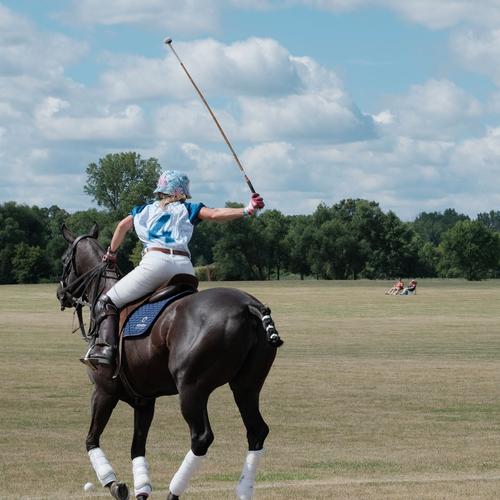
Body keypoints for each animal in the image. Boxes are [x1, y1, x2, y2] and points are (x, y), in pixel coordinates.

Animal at [57, 225, 284, 498]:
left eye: (63, 260)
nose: (60, 293)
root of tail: (249, 305)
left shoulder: (103, 391)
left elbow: (91, 439)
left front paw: (114, 484)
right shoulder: (144, 401)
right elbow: (137, 448)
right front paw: (141, 490)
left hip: (192, 387)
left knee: (201, 437)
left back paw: (174, 491)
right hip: (246, 385)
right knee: (257, 430)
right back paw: (243, 489)